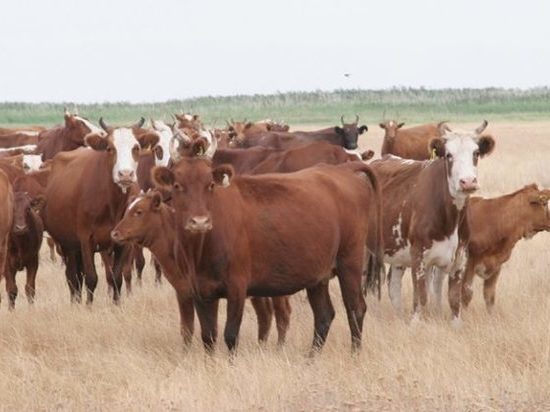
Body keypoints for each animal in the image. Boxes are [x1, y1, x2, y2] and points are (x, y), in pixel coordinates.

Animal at [43, 117, 157, 304]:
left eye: (136, 148)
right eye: (110, 148)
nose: (125, 174)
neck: (112, 204)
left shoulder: (122, 242)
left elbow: (116, 277)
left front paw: (116, 305)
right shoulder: (86, 240)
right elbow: (91, 277)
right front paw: (89, 306)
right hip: (68, 245)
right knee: (72, 277)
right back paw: (75, 302)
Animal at [111, 192, 294, 346]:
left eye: (139, 212)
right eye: (127, 210)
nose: (115, 233)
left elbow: (194, 329)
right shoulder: (183, 291)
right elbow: (188, 328)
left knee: (282, 313)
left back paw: (279, 347)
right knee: (265, 315)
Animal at [151, 140, 384, 352]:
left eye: (210, 185)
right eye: (177, 185)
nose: (199, 222)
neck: (200, 249)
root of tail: (342, 170)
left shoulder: (237, 288)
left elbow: (230, 335)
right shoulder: (201, 291)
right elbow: (208, 337)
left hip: (349, 264)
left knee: (355, 308)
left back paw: (355, 354)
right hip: (317, 277)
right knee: (324, 315)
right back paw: (311, 359)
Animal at [374, 120, 498, 324]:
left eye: (476, 153)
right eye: (449, 155)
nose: (468, 182)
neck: (450, 219)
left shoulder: (459, 257)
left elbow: (453, 298)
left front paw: (455, 323)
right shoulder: (418, 257)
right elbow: (421, 296)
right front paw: (416, 323)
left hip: (398, 253)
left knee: (394, 285)